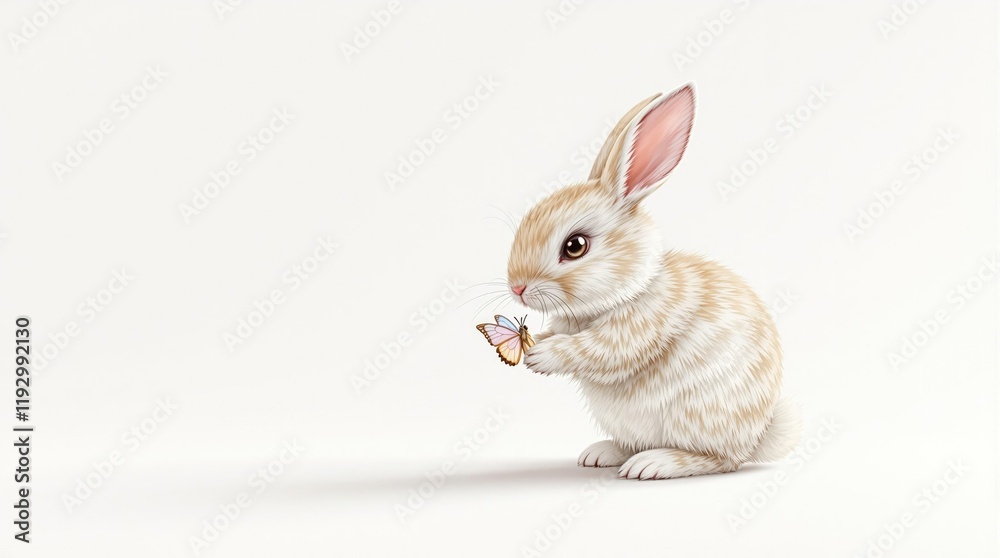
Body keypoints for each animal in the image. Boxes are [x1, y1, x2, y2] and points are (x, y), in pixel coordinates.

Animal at [506, 84, 802, 480]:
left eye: (575, 246)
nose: (517, 288)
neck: (630, 287)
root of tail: (756, 438)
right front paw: (532, 344)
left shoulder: (640, 328)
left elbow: (596, 349)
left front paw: (540, 356)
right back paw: (602, 454)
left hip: (697, 414)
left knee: (719, 459)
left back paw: (652, 464)